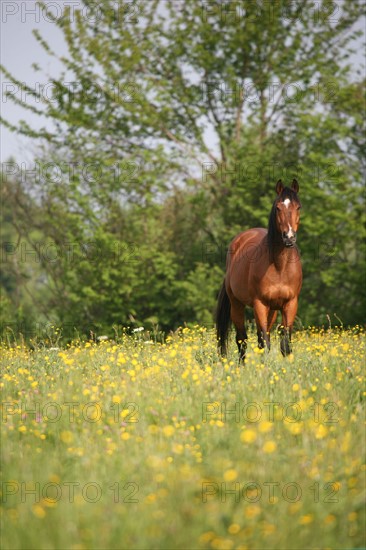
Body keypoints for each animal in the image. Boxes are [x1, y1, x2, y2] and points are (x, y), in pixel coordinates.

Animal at [216, 180, 302, 362]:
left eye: (298, 207)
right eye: (278, 208)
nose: (289, 237)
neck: (279, 266)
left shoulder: (290, 303)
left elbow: (285, 343)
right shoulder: (259, 304)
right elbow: (263, 342)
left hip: (272, 310)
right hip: (237, 304)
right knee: (242, 339)